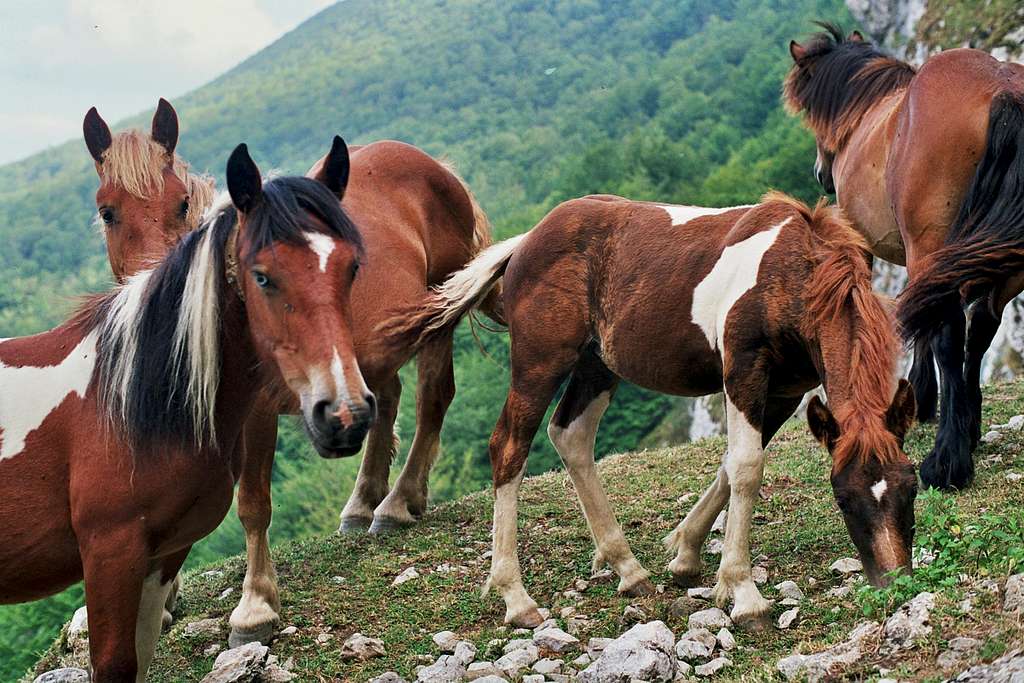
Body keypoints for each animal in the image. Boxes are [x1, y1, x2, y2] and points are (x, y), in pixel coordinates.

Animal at [0, 143, 372, 679]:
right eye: (262, 276)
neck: (126, 403)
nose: (344, 415)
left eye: (351, 268)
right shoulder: (110, 554)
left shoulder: (162, 556)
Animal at [80, 100, 499, 647]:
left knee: (433, 396)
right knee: (387, 398)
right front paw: (163, 602)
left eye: (180, 205)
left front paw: (256, 605)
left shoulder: (257, 417)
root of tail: (436, 167)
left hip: (437, 318)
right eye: (108, 211)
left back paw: (399, 502)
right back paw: (363, 501)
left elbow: (254, 503)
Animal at [385, 192, 921, 630]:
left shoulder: (787, 391)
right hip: (540, 364)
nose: (894, 582)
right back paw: (517, 599)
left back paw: (628, 569)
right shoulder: (744, 372)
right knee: (509, 448)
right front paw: (744, 594)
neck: (793, 269)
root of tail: (526, 241)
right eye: (842, 498)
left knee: (571, 435)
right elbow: (747, 468)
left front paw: (687, 556)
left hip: (597, 366)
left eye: (911, 488)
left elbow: (730, 465)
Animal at [782, 22, 1024, 491]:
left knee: (950, 332)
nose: (822, 174)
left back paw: (947, 460)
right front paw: (922, 398)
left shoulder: (869, 244)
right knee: (980, 328)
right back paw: (967, 426)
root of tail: (1001, 88)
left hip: (937, 247)